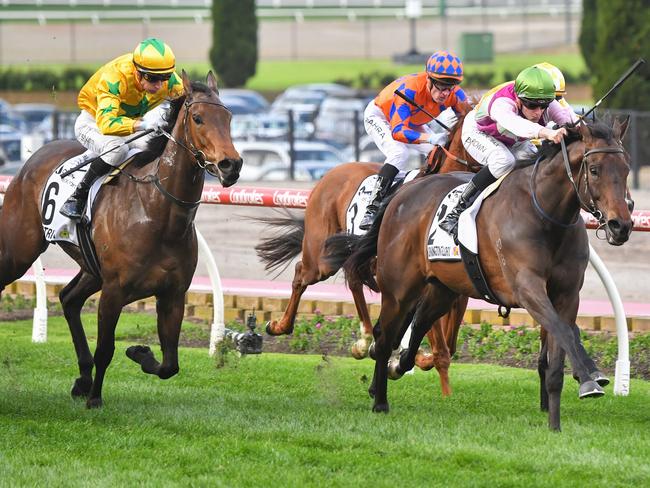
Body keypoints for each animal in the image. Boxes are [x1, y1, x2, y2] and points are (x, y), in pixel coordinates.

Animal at [0, 71, 242, 408]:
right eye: (198, 118)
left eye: (229, 118)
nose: (231, 165)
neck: (158, 213)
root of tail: (35, 157)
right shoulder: (114, 291)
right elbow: (105, 349)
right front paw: (95, 399)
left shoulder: (173, 294)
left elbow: (170, 364)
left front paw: (139, 352)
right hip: (18, 252)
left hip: (91, 269)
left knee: (69, 298)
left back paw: (82, 378)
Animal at [254, 104, 476, 396]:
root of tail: (330, 174)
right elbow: (440, 348)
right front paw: (407, 361)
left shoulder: (455, 292)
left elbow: (447, 346)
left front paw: (411, 360)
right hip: (322, 258)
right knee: (303, 272)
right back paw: (281, 325)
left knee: (353, 278)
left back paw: (365, 339)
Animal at [326, 119, 632, 430]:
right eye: (594, 170)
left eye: (626, 168)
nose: (621, 225)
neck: (546, 216)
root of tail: (400, 195)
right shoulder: (527, 289)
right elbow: (565, 332)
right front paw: (589, 379)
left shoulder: (567, 295)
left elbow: (562, 343)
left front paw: (558, 420)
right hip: (399, 289)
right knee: (386, 334)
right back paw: (380, 400)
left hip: (443, 288)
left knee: (419, 323)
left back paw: (396, 367)